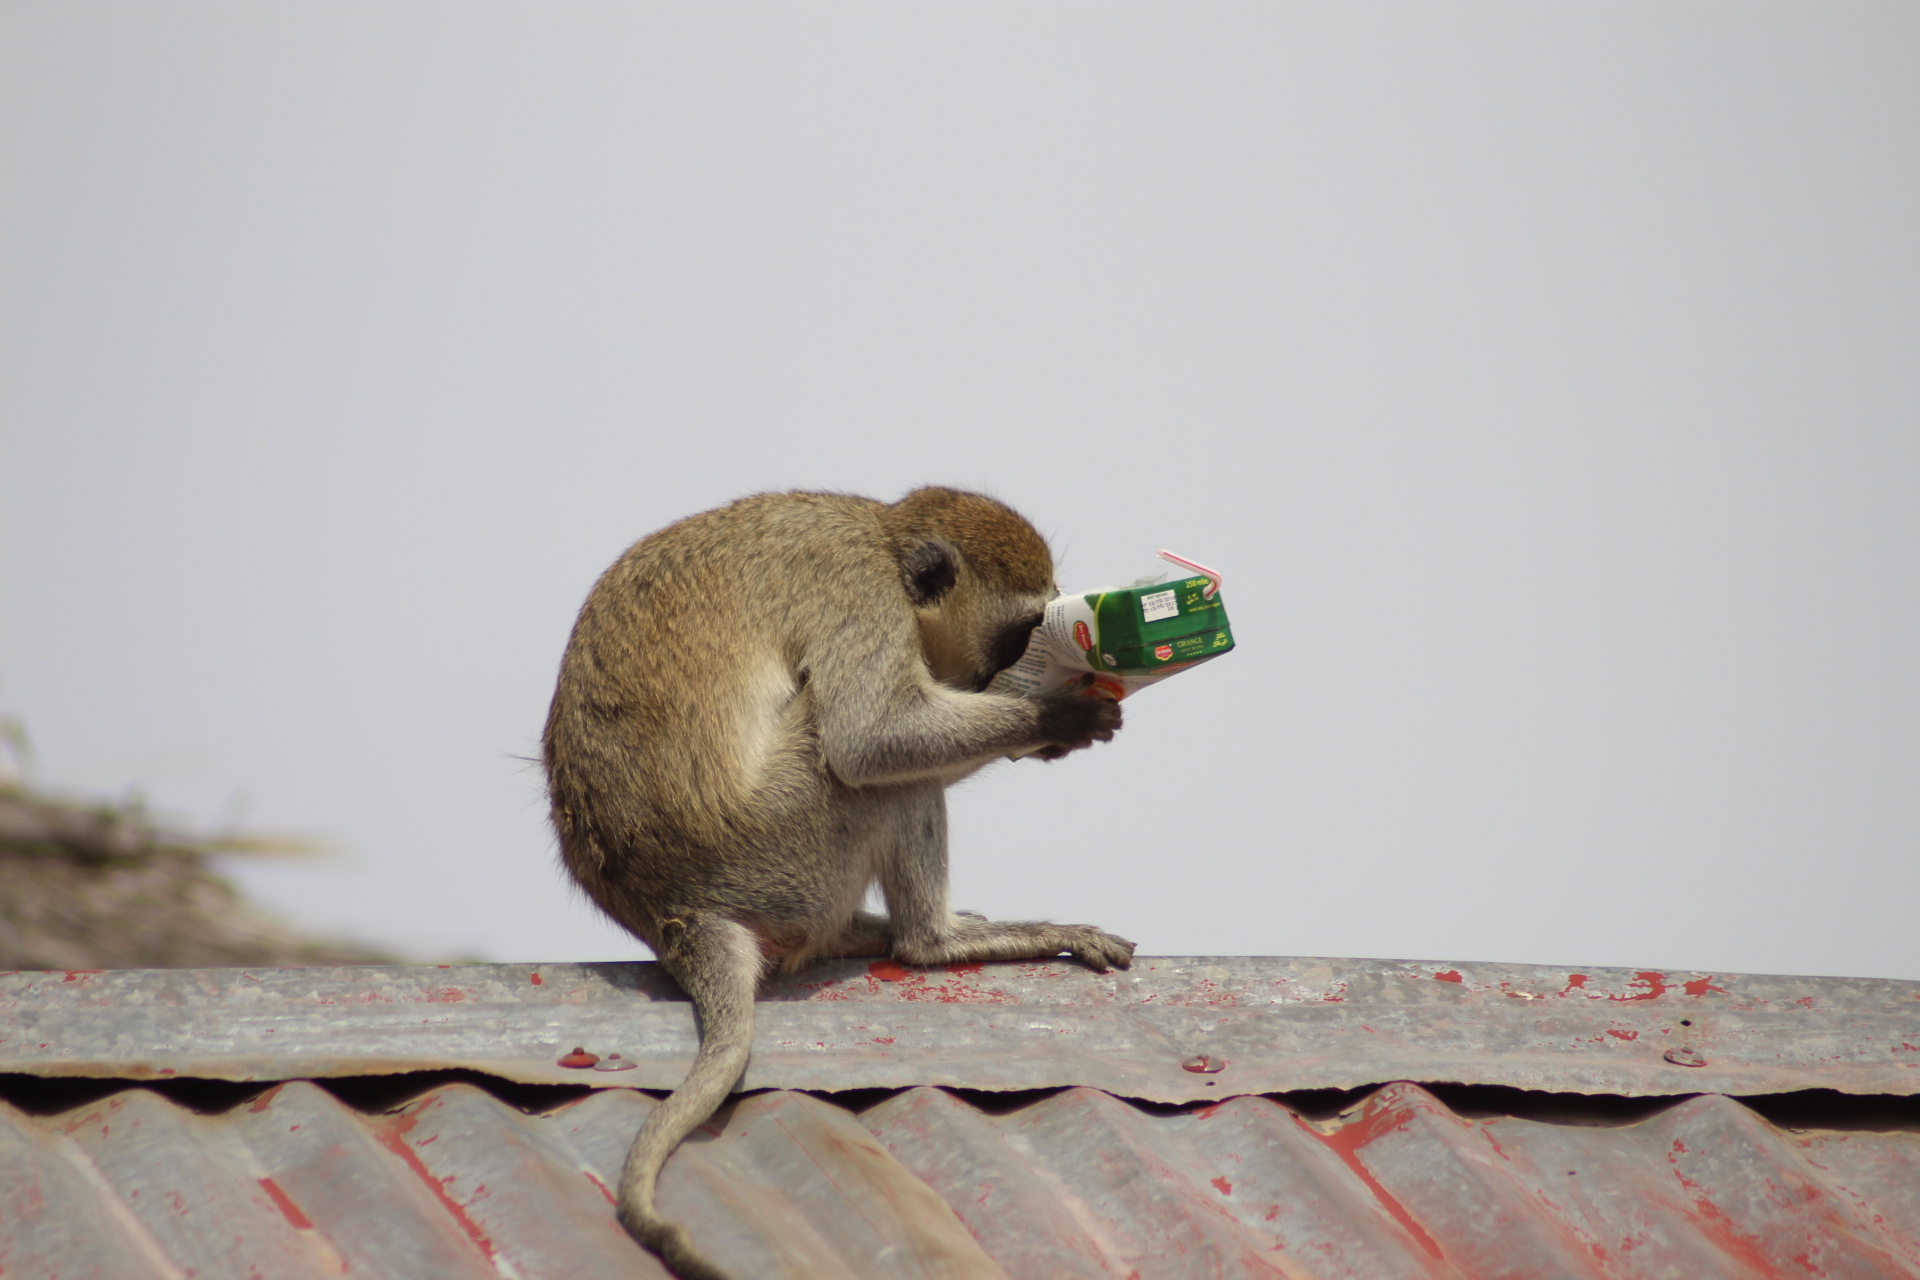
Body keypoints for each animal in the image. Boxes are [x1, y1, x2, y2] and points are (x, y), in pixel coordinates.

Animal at [542, 487, 1131, 1280]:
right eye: (1019, 633)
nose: (1001, 680)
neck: (883, 535)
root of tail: (676, 914)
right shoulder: (859, 596)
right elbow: (873, 738)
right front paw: (1055, 715)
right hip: (785, 840)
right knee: (868, 771)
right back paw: (936, 940)